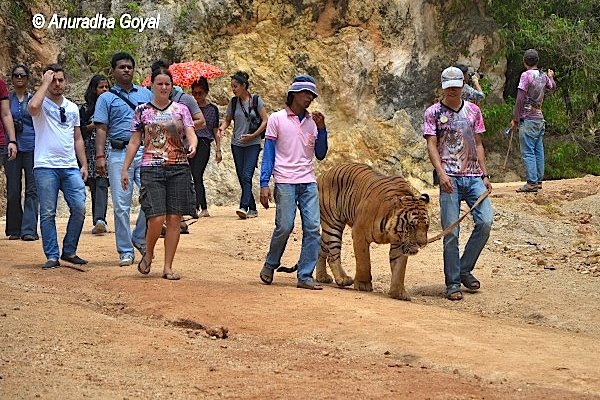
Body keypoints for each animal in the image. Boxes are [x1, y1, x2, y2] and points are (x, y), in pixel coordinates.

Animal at [314, 162, 432, 300]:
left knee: (321, 248)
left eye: (426, 226)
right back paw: (343, 279)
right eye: (411, 226)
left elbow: (399, 268)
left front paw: (399, 293)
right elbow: (364, 262)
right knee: (333, 254)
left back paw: (322, 277)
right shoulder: (359, 234)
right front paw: (363, 285)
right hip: (333, 224)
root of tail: (325, 173)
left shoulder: (400, 243)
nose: (422, 244)